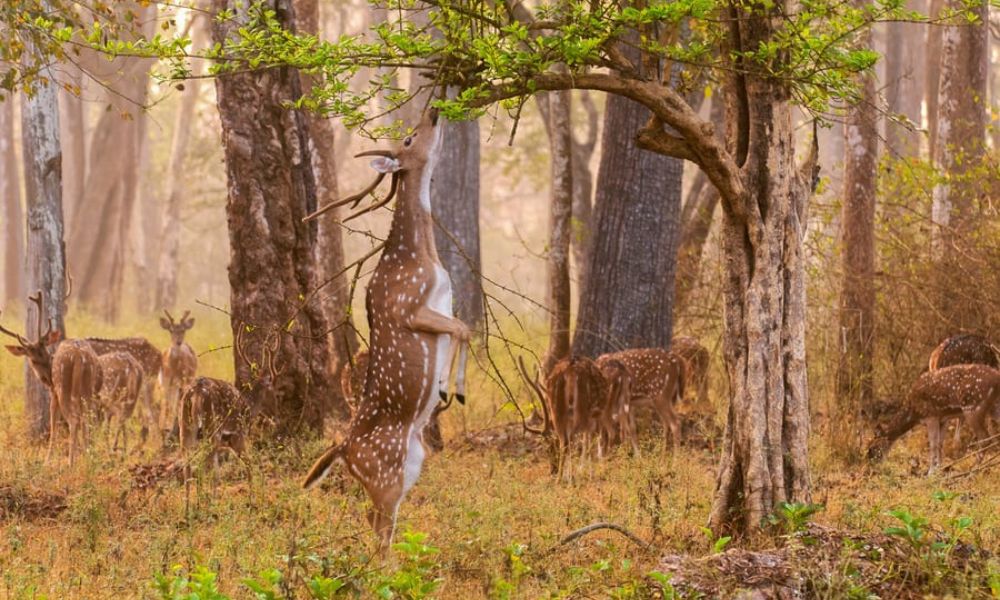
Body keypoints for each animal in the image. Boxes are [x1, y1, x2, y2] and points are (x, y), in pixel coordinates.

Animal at [159, 310, 198, 440]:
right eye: (171, 330)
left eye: (183, 330)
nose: (178, 342)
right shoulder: (165, 382)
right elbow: (166, 405)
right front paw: (163, 427)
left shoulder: (182, 380)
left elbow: (176, 404)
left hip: (188, 379)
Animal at [298, 108, 470, 548]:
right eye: (408, 139)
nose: (434, 111)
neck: (422, 256)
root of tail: (342, 449)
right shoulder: (408, 307)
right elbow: (462, 329)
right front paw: (450, 388)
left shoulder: (442, 304)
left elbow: (461, 327)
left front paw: (446, 387)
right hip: (385, 472)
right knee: (378, 526)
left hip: (411, 465)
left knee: (375, 520)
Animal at [864, 364, 1000, 476]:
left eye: (873, 448)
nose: (871, 466)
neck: (914, 412)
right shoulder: (943, 419)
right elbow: (940, 443)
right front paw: (939, 468)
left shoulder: (931, 416)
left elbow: (933, 444)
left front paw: (931, 472)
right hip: (992, 408)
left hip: (973, 407)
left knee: (985, 439)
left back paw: (973, 470)